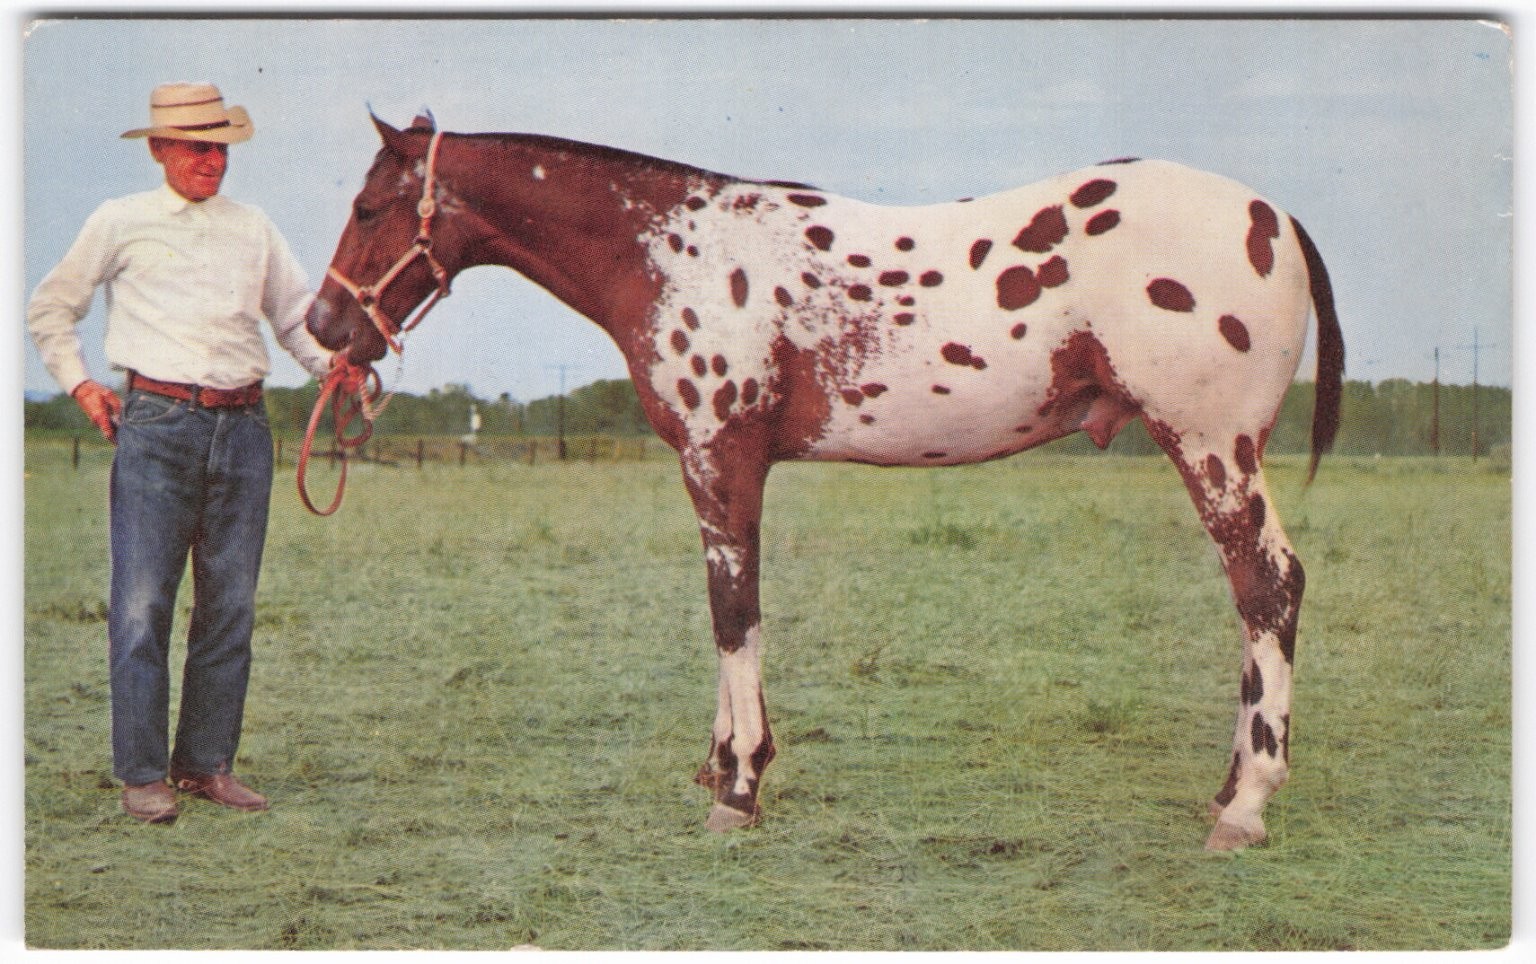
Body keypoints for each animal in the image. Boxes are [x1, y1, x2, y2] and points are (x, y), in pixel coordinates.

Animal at [306, 113, 1342, 851]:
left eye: (368, 209)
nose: (323, 325)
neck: (677, 255)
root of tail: (1278, 218)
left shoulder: (721, 459)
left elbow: (735, 614)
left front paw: (739, 788)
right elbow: (729, 615)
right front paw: (718, 767)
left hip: (1210, 446)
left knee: (1268, 585)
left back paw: (1245, 806)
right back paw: (1228, 785)